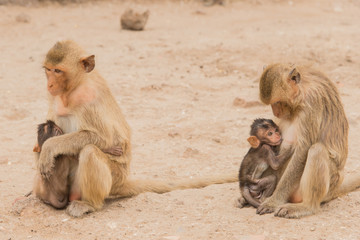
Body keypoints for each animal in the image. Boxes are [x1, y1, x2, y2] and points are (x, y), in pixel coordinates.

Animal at [34, 40, 236, 218]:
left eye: (58, 71)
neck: (72, 90)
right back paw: (51, 193)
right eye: (48, 70)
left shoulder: (89, 96)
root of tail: (123, 182)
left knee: (90, 152)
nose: (49, 84)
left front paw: (50, 147)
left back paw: (89, 204)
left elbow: (102, 138)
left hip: (115, 177)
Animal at [256, 63, 360, 218]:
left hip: (330, 184)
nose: (276, 112)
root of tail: (336, 188)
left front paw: (274, 201)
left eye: (278, 102)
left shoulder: (312, 102)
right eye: (272, 104)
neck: (302, 90)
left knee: (317, 150)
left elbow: (303, 149)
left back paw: (307, 206)